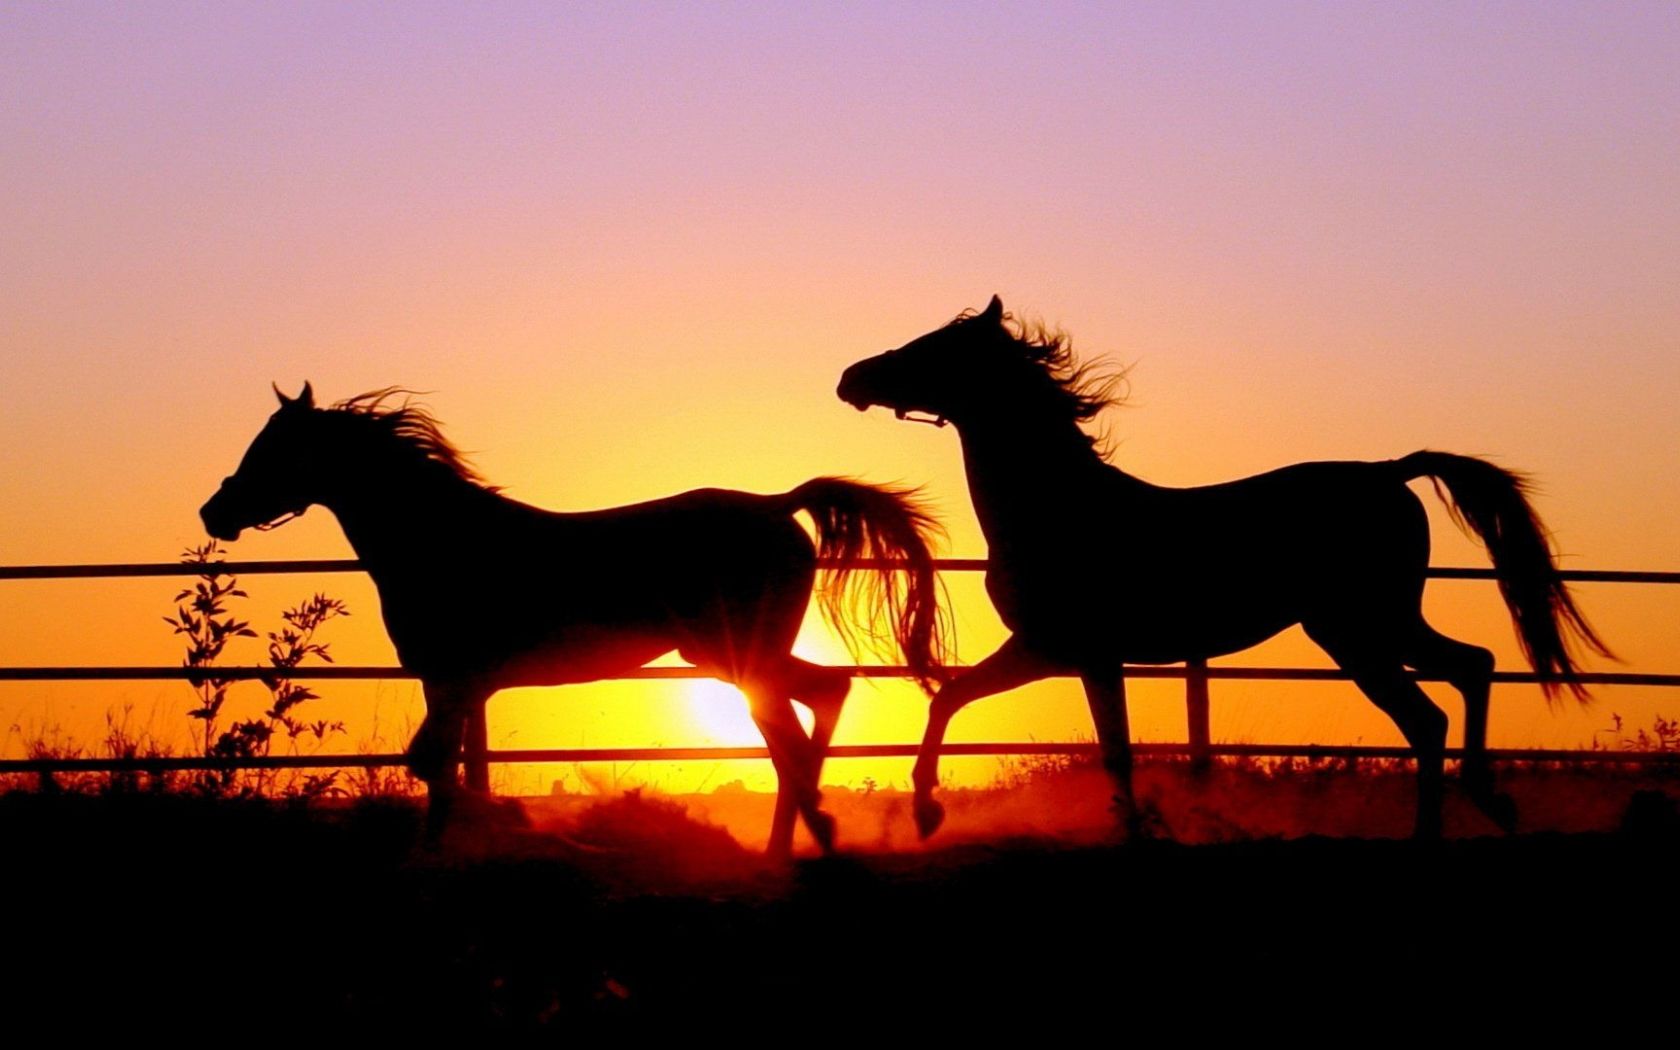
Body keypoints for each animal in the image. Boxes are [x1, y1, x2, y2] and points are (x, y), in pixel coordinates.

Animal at [200, 383, 947, 855]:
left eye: (272, 449)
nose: (215, 511)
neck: (441, 538)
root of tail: (776, 505)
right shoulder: (455, 685)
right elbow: (435, 765)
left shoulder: (450, 678)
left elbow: (434, 766)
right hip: (736, 659)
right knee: (822, 699)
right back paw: (798, 838)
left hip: (738, 660)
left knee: (796, 731)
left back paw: (810, 836)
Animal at [838, 295, 1611, 839]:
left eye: (935, 348)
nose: (852, 377)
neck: (1059, 507)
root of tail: (1388, 472)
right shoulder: (1048, 650)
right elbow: (952, 699)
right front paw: (928, 811)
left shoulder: (1077, 651)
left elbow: (1111, 749)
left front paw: (1133, 832)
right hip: (1377, 624)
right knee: (1470, 669)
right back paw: (1489, 802)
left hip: (1358, 630)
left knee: (1429, 713)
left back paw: (1436, 829)